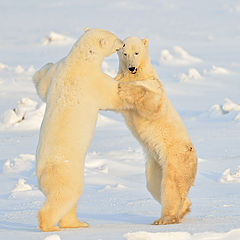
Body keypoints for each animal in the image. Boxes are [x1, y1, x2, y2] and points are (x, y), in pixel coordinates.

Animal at [34, 28, 129, 232]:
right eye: (114, 39)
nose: (124, 43)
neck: (79, 60)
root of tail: (41, 177)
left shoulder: (59, 69)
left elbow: (44, 86)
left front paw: (44, 66)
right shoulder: (92, 80)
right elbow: (112, 95)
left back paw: (78, 223)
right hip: (67, 173)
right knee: (65, 196)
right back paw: (50, 226)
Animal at [117, 36, 198, 225]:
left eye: (137, 52)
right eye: (125, 53)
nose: (131, 68)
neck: (140, 73)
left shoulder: (154, 86)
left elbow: (151, 102)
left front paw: (123, 86)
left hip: (175, 158)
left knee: (170, 185)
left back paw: (165, 218)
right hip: (156, 163)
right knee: (153, 185)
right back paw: (183, 209)